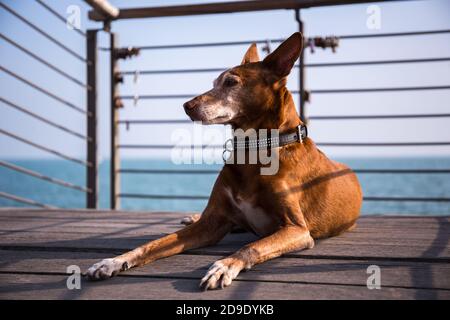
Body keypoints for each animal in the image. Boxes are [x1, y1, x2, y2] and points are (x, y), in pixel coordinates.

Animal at [87, 31, 362, 290]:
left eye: (230, 82)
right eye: (214, 83)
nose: (186, 105)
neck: (253, 149)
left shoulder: (297, 229)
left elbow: (252, 247)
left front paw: (224, 266)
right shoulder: (210, 225)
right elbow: (153, 244)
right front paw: (114, 261)